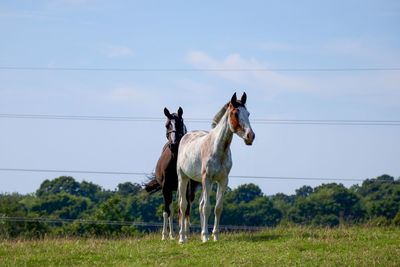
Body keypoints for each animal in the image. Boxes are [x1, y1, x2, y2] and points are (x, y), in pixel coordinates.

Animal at [145, 107, 199, 241]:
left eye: (179, 123)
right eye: (167, 125)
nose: (174, 144)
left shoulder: (186, 187)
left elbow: (183, 209)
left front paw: (183, 234)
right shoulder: (166, 187)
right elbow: (167, 211)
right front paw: (165, 235)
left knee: (186, 207)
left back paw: (185, 232)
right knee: (172, 208)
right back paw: (172, 234)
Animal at [177, 92, 255, 245]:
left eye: (248, 113)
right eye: (235, 113)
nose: (250, 136)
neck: (217, 148)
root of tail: (186, 136)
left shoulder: (223, 180)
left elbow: (218, 208)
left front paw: (215, 236)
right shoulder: (207, 178)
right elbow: (207, 207)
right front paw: (206, 237)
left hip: (203, 182)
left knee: (200, 204)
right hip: (184, 178)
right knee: (183, 205)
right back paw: (182, 238)